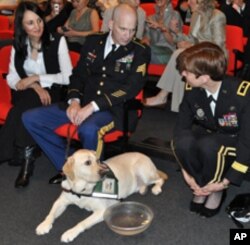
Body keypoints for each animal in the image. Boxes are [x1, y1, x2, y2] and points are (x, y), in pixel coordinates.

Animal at [35, 149, 168, 243]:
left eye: (98, 160)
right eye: (88, 162)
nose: (104, 172)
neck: (81, 190)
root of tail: (145, 155)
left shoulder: (101, 211)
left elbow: (82, 222)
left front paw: (70, 233)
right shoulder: (60, 201)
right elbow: (51, 214)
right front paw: (44, 225)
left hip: (142, 170)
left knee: (160, 179)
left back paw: (156, 188)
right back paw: (143, 189)